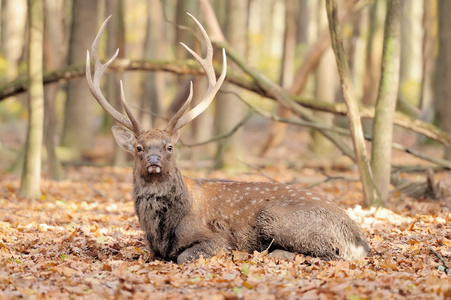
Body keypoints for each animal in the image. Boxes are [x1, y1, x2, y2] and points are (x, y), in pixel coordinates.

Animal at [85, 14, 370, 264]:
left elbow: (184, 256)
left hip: (277, 218)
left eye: (169, 146)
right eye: (138, 147)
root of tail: (358, 239)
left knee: (329, 254)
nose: (154, 159)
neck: (161, 233)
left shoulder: (216, 239)